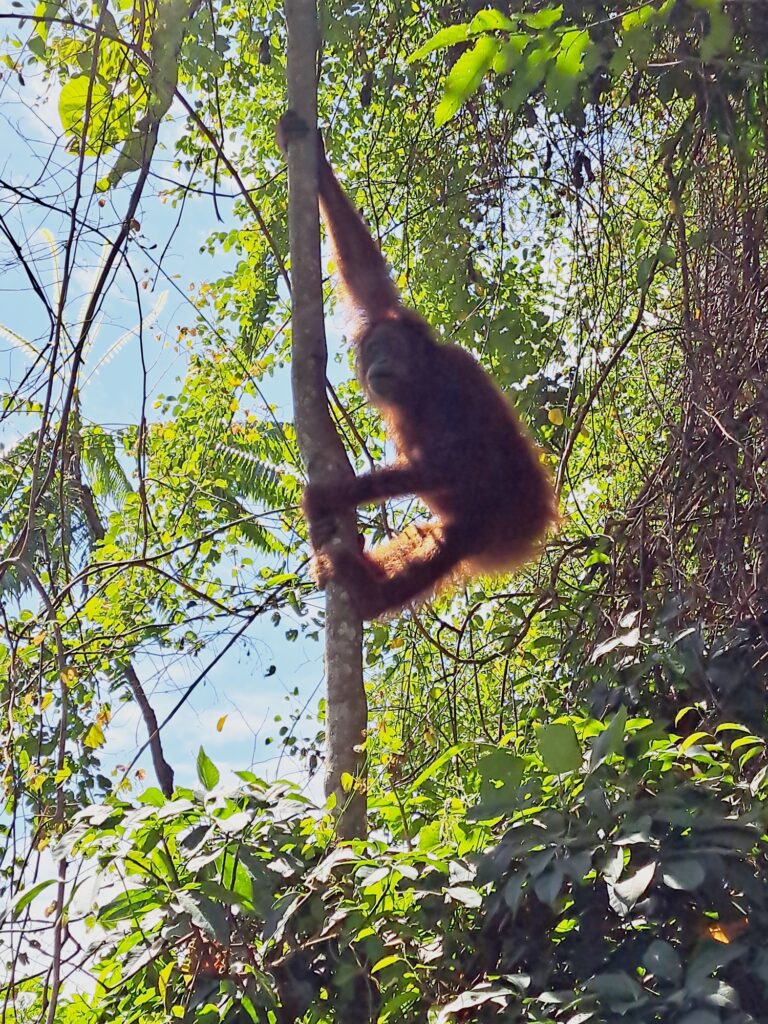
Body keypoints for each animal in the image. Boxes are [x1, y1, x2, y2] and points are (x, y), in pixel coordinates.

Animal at [278, 113, 558, 620]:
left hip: (509, 514)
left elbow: (466, 458)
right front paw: (315, 156)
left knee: (459, 532)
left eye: (390, 349)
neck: (421, 385)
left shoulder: (456, 382)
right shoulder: (386, 311)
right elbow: (366, 276)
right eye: (373, 351)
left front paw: (338, 493)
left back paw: (366, 593)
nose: (378, 364)